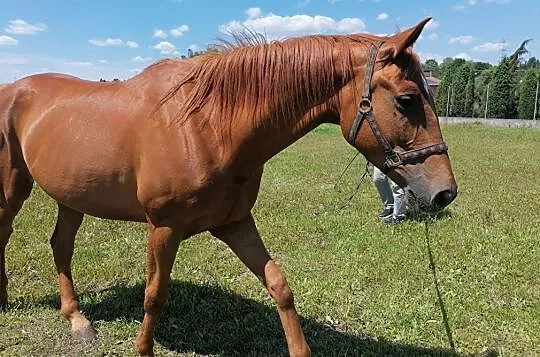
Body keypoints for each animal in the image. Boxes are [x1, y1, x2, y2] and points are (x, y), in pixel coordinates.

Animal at [0, 18, 456, 354]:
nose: (444, 192)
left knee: (61, 244)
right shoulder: (164, 228)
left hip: (71, 196)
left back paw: (77, 319)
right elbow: (154, 295)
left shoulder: (235, 224)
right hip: (13, 188)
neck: (206, 125)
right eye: (407, 100)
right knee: (7, 233)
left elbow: (279, 285)